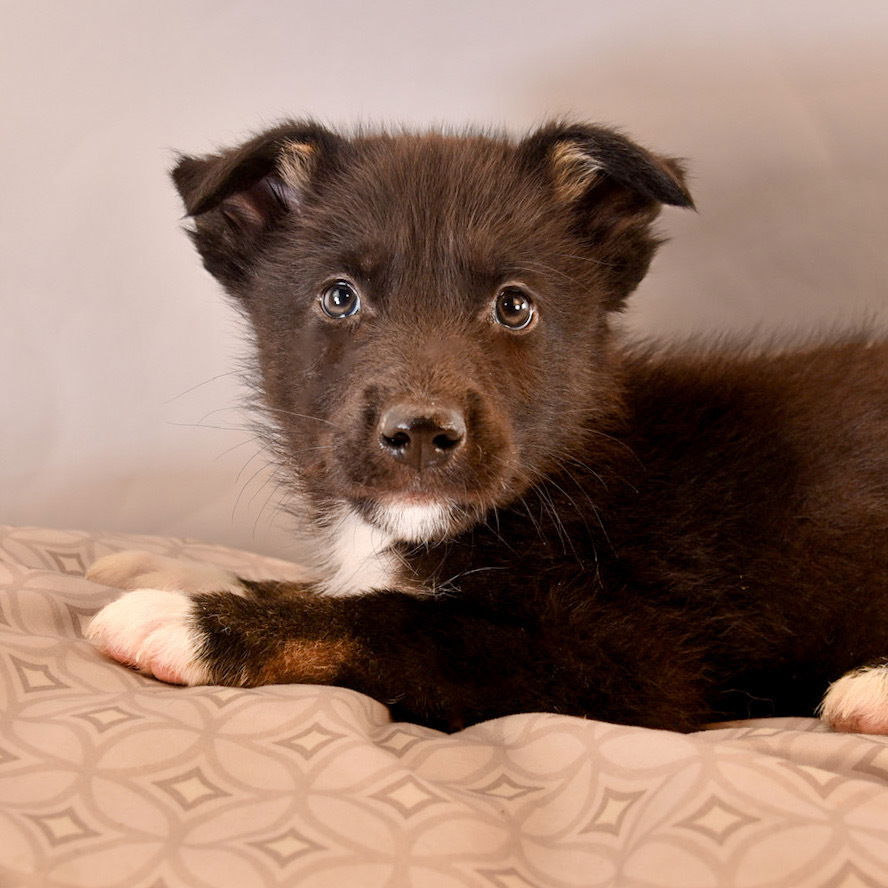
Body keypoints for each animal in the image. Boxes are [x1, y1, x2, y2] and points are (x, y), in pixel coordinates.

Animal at [88, 123, 888, 736]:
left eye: (514, 306)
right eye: (340, 297)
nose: (420, 432)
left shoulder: (627, 661)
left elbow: (394, 621)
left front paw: (190, 620)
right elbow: (340, 587)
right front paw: (166, 567)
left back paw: (867, 691)